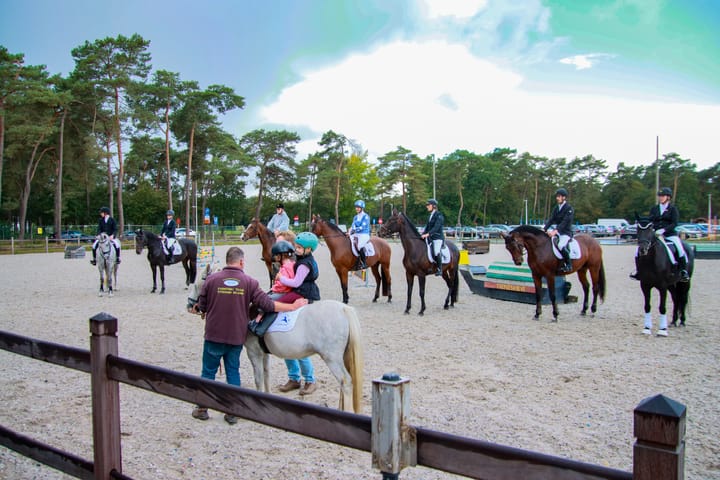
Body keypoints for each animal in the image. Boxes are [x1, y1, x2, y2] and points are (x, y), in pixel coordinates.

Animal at [187, 262, 366, 412]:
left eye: (198, 283)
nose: (190, 305)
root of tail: (343, 309)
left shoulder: (254, 352)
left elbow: (258, 377)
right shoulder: (264, 353)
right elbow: (266, 375)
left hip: (332, 358)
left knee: (346, 381)